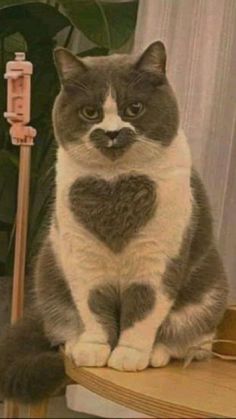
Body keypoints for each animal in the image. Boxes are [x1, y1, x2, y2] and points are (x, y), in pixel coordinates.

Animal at [0, 41, 229, 404]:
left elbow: (144, 311)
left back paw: (157, 352)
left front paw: (129, 354)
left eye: (134, 108)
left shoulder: (157, 262)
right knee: (62, 325)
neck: (114, 184)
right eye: (90, 113)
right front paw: (95, 348)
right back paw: (75, 344)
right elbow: (92, 308)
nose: (111, 132)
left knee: (191, 344)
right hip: (48, 271)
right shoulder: (82, 259)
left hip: (210, 295)